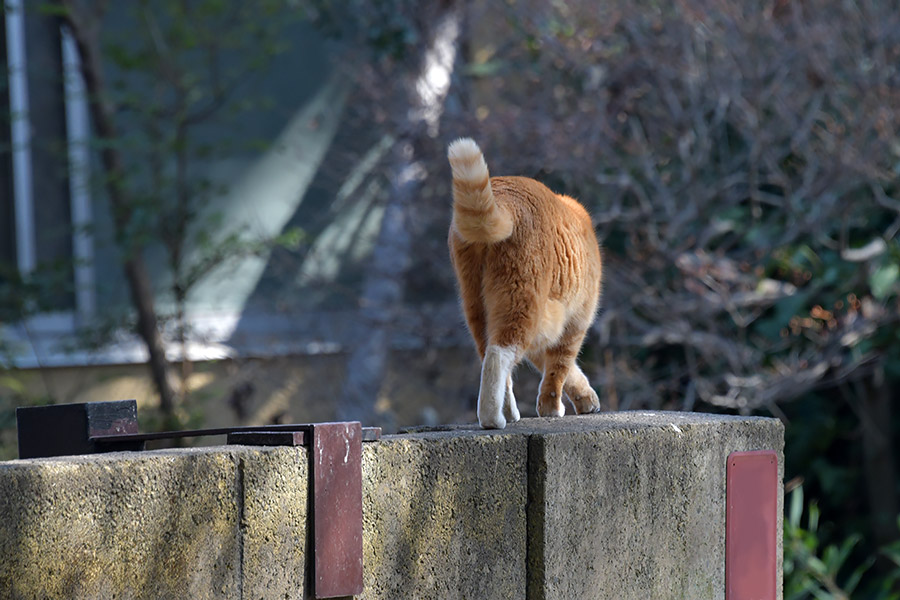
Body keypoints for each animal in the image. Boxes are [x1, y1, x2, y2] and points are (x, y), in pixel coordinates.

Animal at [446, 138, 600, 428]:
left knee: (488, 352)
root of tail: (505, 198)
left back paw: (509, 412)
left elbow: (562, 367)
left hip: (476, 299)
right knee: (499, 354)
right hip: (523, 299)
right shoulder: (576, 321)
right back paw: (493, 418)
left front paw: (584, 396)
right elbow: (559, 367)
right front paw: (551, 407)